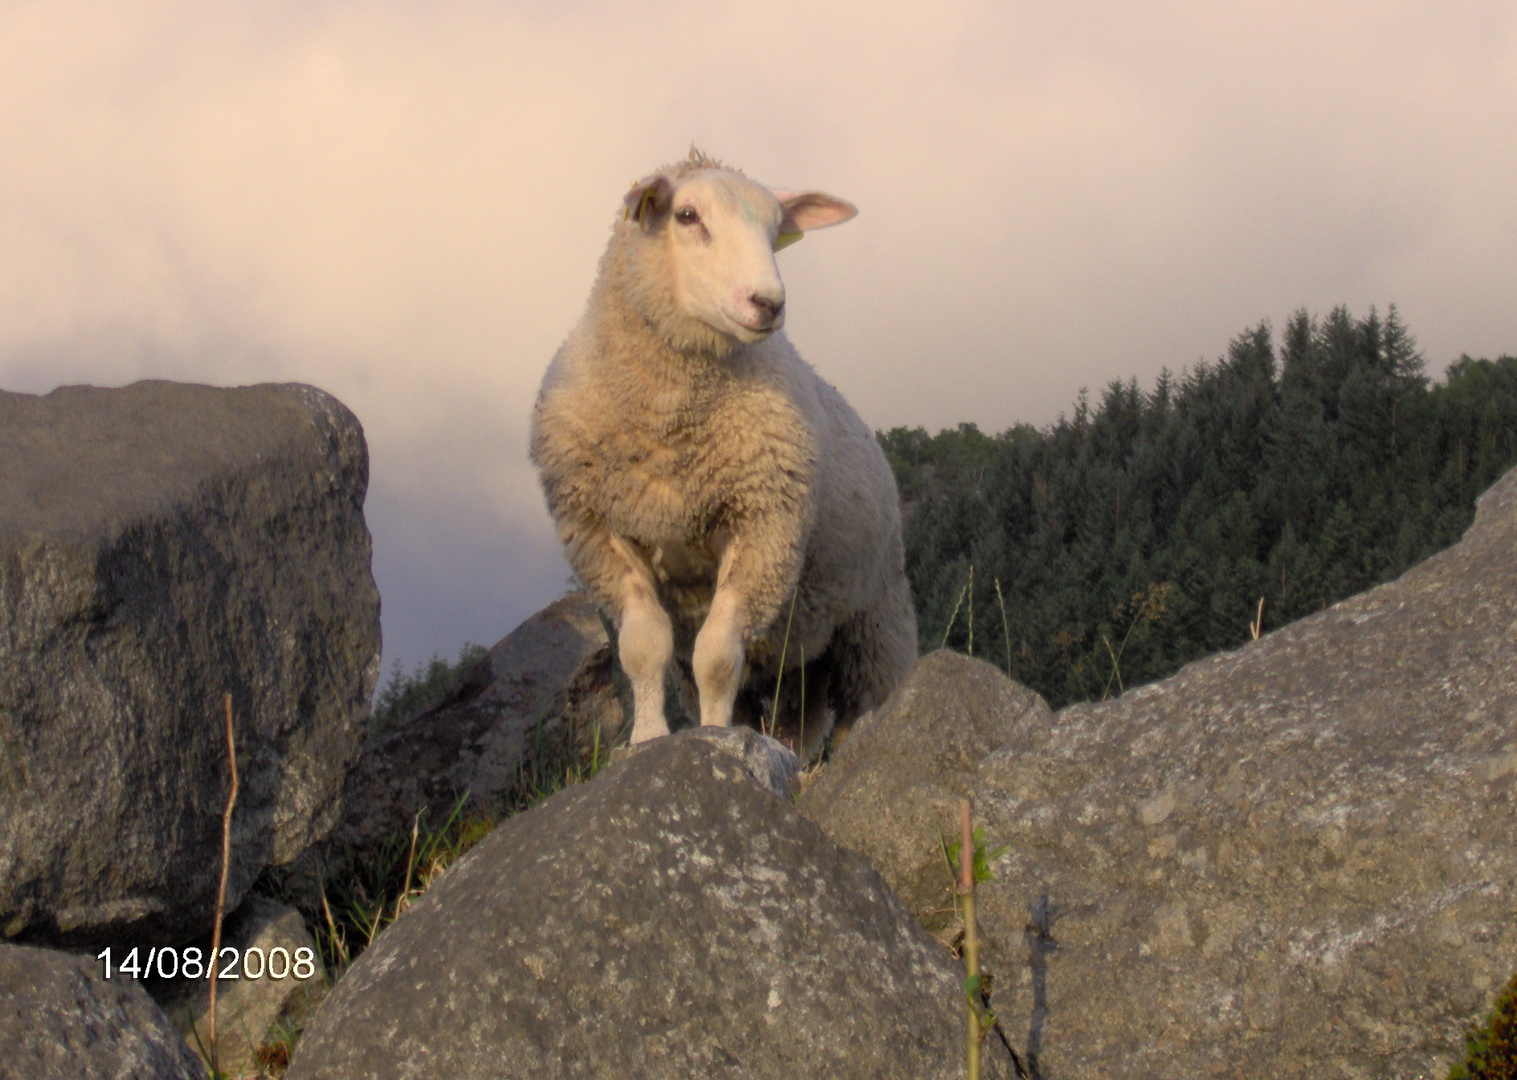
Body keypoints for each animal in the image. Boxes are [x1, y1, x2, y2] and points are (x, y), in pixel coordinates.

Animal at [527, 149, 916, 758]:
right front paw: (647, 739)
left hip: (874, 619)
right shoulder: (600, 529)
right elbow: (644, 646)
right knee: (791, 719)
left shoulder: (763, 526)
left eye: (776, 229)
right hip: (798, 655)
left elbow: (716, 656)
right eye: (687, 216)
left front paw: (713, 736)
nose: (768, 303)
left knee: (868, 701)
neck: (668, 422)